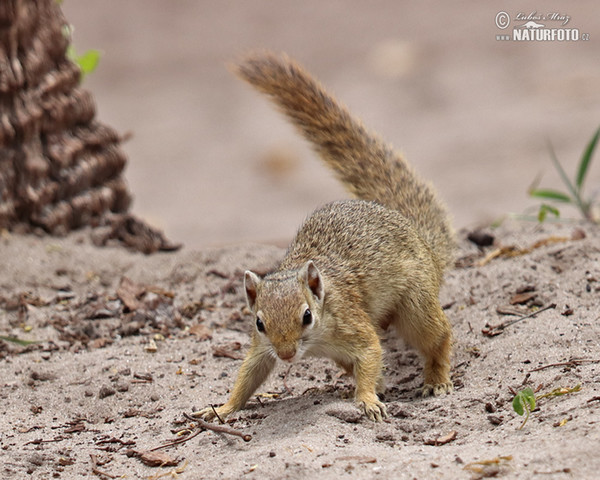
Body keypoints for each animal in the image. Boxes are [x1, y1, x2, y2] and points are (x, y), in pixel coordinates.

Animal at [197, 50, 454, 422]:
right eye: (259, 323)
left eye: (306, 315)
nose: (286, 355)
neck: (317, 336)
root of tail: (424, 243)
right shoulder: (262, 349)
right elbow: (249, 375)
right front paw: (222, 407)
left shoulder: (354, 325)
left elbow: (371, 353)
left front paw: (367, 400)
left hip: (416, 302)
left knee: (438, 336)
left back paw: (436, 378)